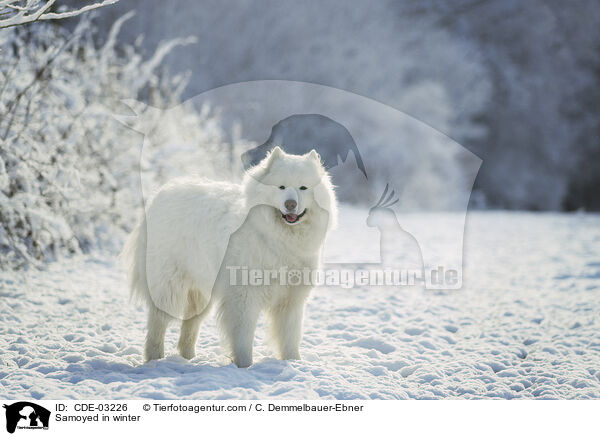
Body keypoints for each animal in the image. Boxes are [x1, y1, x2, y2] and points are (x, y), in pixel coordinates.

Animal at [122, 147, 338, 368]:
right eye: (281, 187)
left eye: (303, 188)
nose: (291, 204)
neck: (278, 238)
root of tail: (161, 193)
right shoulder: (244, 297)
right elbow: (243, 338)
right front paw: (245, 366)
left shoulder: (291, 300)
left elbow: (290, 337)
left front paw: (294, 362)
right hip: (169, 287)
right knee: (158, 324)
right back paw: (155, 359)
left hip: (201, 295)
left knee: (189, 328)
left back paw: (189, 358)